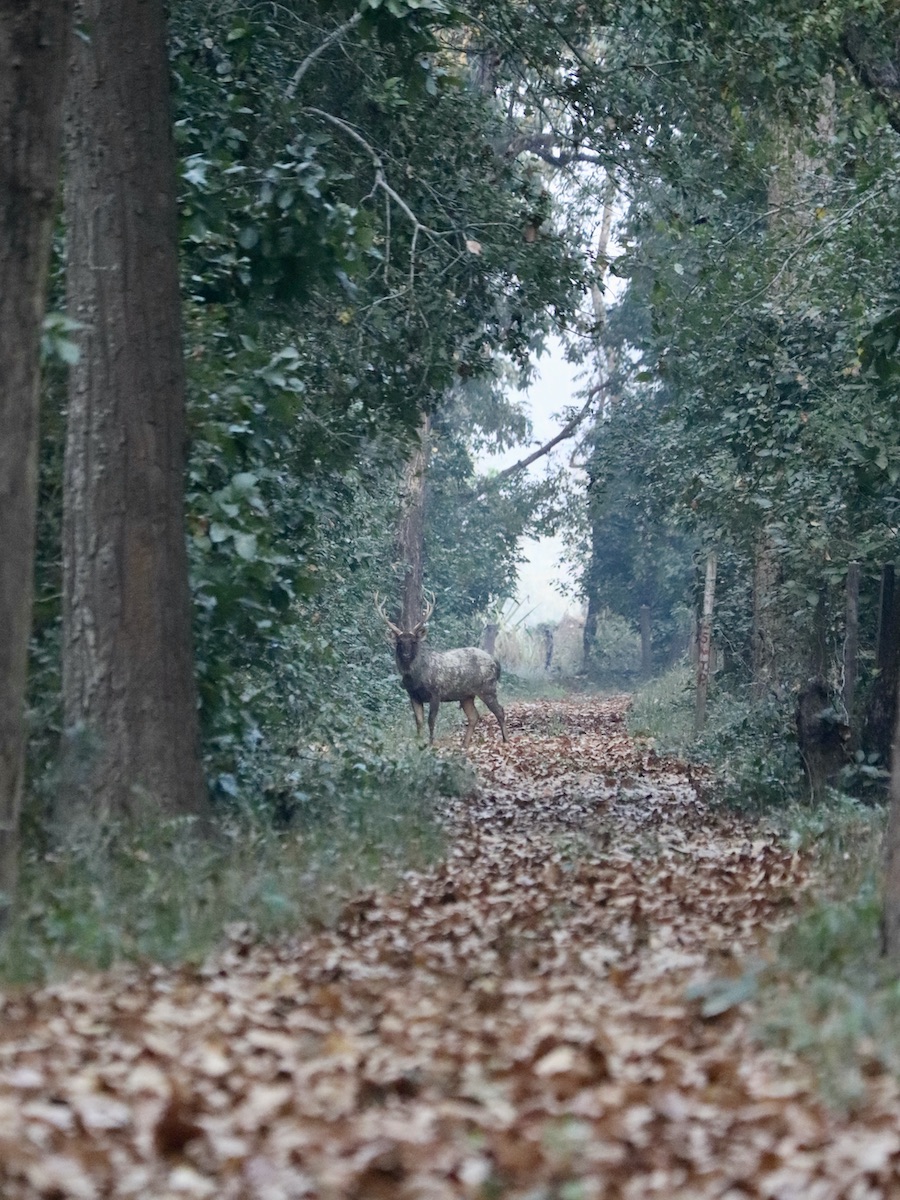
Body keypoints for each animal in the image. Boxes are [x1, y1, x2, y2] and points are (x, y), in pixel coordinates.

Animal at [376, 593, 508, 749]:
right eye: (399, 642)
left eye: (414, 641)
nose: (406, 655)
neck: (416, 678)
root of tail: (495, 661)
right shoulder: (413, 695)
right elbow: (419, 721)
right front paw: (418, 744)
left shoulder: (436, 692)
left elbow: (431, 720)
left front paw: (430, 744)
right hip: (466, 695)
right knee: (474, 716)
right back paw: (464, 744)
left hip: (488, 687)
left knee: (500, 710)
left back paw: (506, 740)